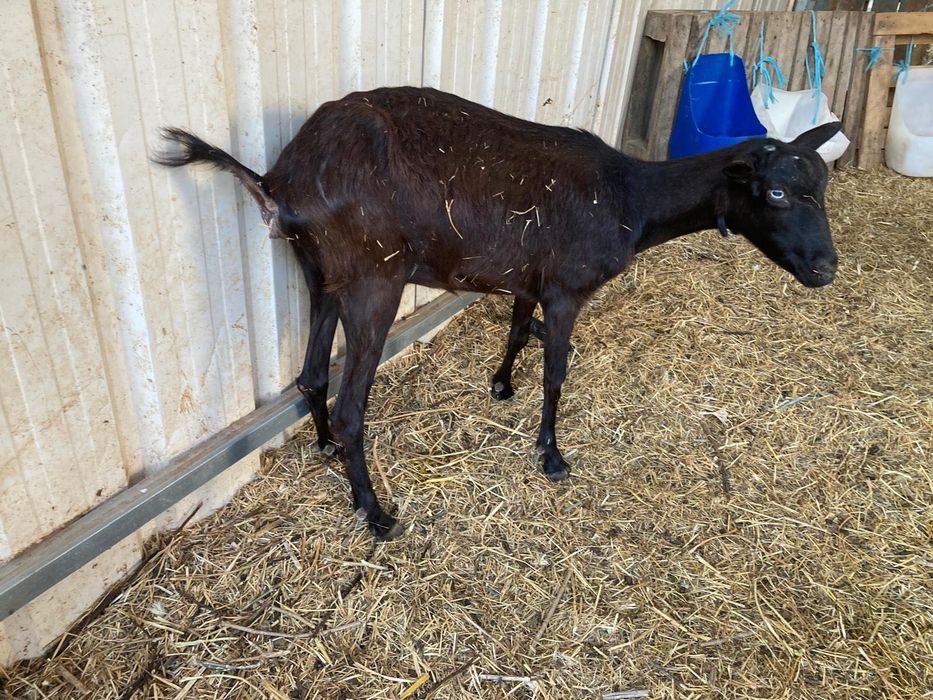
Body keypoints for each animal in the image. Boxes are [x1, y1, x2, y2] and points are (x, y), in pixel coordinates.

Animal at [155, 86, 840, 539]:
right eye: (776, 191)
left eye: (823, 188)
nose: (825, 268)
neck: (632, 198)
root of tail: (277, 181)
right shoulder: (566, 287)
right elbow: (558, 371)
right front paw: (552, 456)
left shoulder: (529, 276)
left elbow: (515, 329)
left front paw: (503, 385)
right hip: (375, 277)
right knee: (352, 406)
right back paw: (375, 512)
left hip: (321, 272)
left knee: (311, 376)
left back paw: (324, 450)